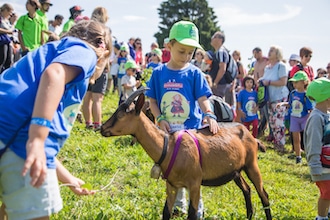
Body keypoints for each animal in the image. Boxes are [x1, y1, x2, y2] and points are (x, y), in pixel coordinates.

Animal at [102, 89, 272, 220]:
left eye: (121, 115)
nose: (102, 128)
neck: (168, 147)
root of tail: (251, 136)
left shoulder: (195, 183)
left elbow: (192, 214)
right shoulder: (171, 185)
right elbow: (166, 212)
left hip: (251, 165)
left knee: (263, 194)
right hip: (235, 170)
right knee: (247, 189)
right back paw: (249, 215)